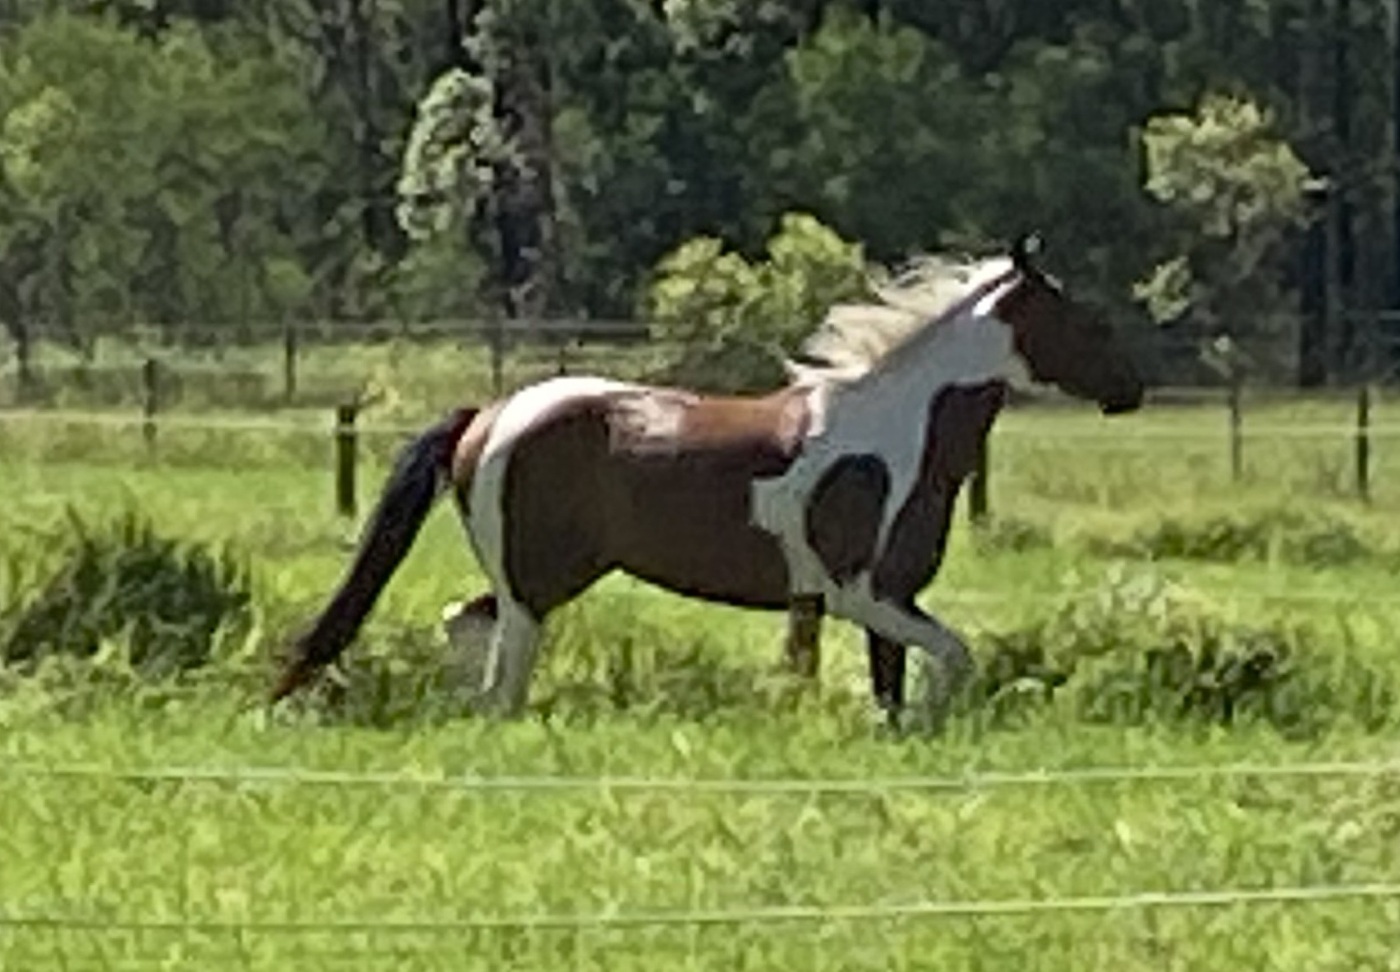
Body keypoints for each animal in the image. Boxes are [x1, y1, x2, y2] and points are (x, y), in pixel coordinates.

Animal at [269, 233, 1145, 726]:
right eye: (1079, 318)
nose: (1129, 389)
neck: (897, 432)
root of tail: (489, 414)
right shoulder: (861, 594)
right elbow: (953, 657)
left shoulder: (881, 603)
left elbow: (892, 686)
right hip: (540, 583)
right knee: (499, 657)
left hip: (545, 577)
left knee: (465, 624)